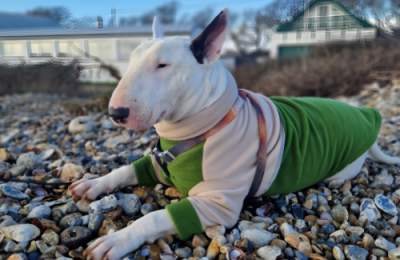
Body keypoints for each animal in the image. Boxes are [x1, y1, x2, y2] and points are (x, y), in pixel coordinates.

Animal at [69, 9, 400, 258]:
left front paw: (117, 240)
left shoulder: (217, 204)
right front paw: (93, 184)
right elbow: (125, 170)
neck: (201, 126)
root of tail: (364, 115)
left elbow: (155, 217)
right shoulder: (158, 163)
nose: (116, 113)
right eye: (132, 60)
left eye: (163, 65)